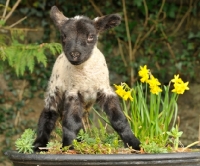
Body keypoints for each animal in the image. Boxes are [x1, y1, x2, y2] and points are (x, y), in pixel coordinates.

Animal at [33, 6, 141, 152]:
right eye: (64, 36)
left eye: (91, 36)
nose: (74, 54)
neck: (86, 77)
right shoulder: (73, 93)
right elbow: (71, 123)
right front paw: (68, 147)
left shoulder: (105, 90)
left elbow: (119, 120)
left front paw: (135, 144)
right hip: (54, 90)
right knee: (49, 115)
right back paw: (38, 145)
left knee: (82, 122)